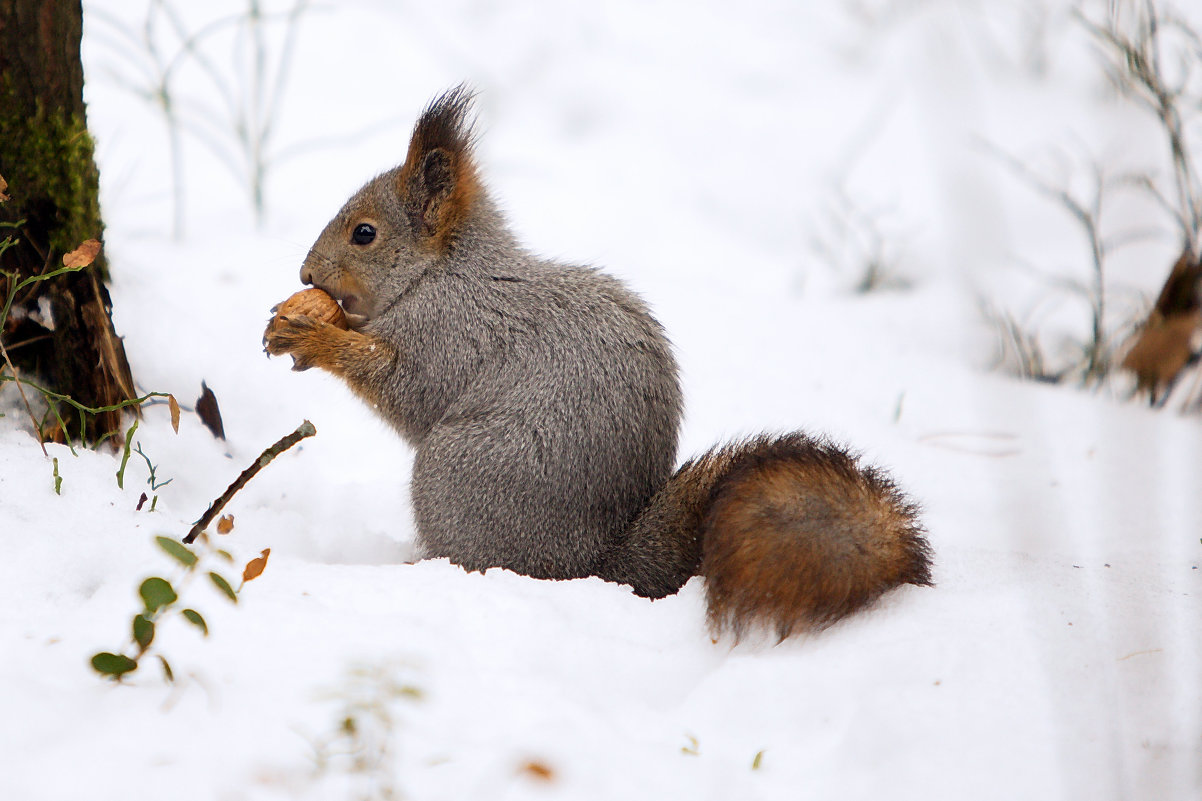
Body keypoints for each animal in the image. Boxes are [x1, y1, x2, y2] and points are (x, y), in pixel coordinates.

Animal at [268, 87, 932, 635]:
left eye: (364, 233)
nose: (304, 275)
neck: (444, 271)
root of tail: (594, 561)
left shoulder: (452, 334)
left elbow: (404, 389)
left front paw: (315, 338)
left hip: (450, 474)